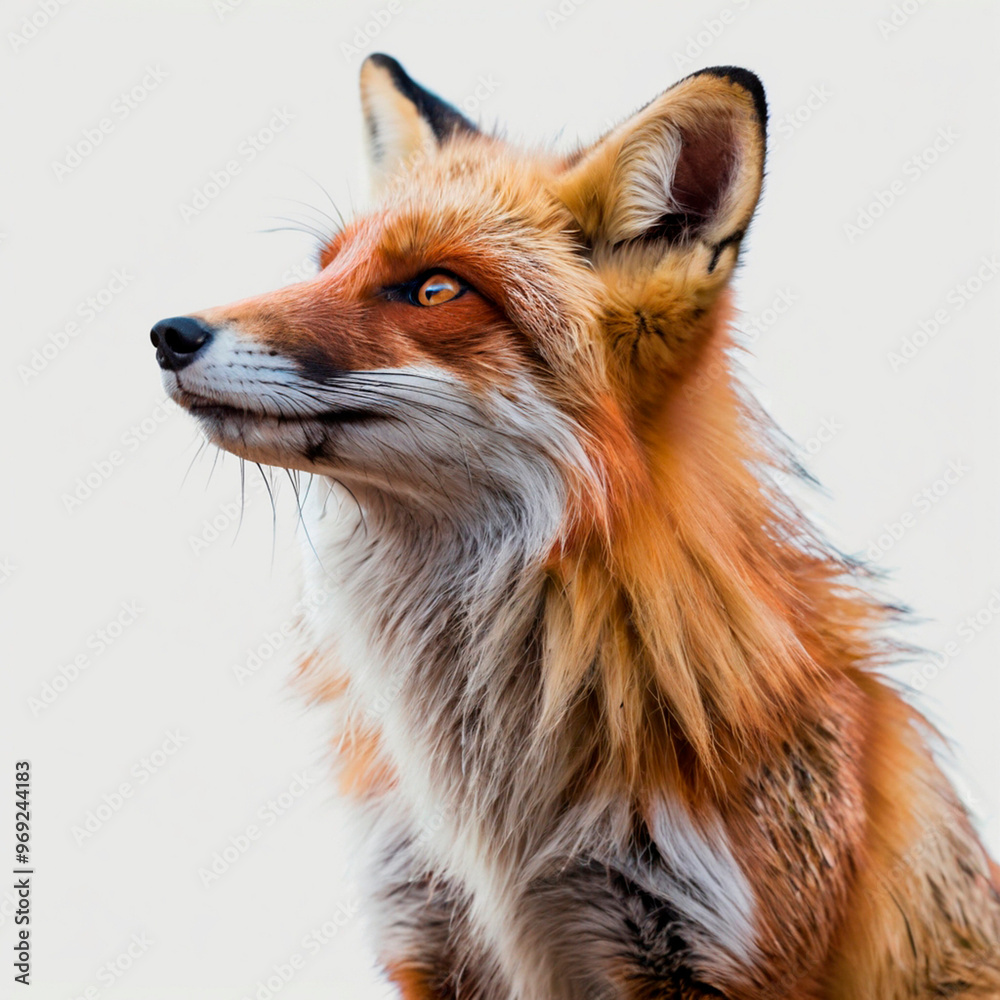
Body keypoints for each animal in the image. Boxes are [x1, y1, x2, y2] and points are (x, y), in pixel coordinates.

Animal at [150, 55, 1000, 999]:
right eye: (322, 268)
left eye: (434, 289)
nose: (169, 334)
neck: (488, 804)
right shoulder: (427, 928)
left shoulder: (711, 947)